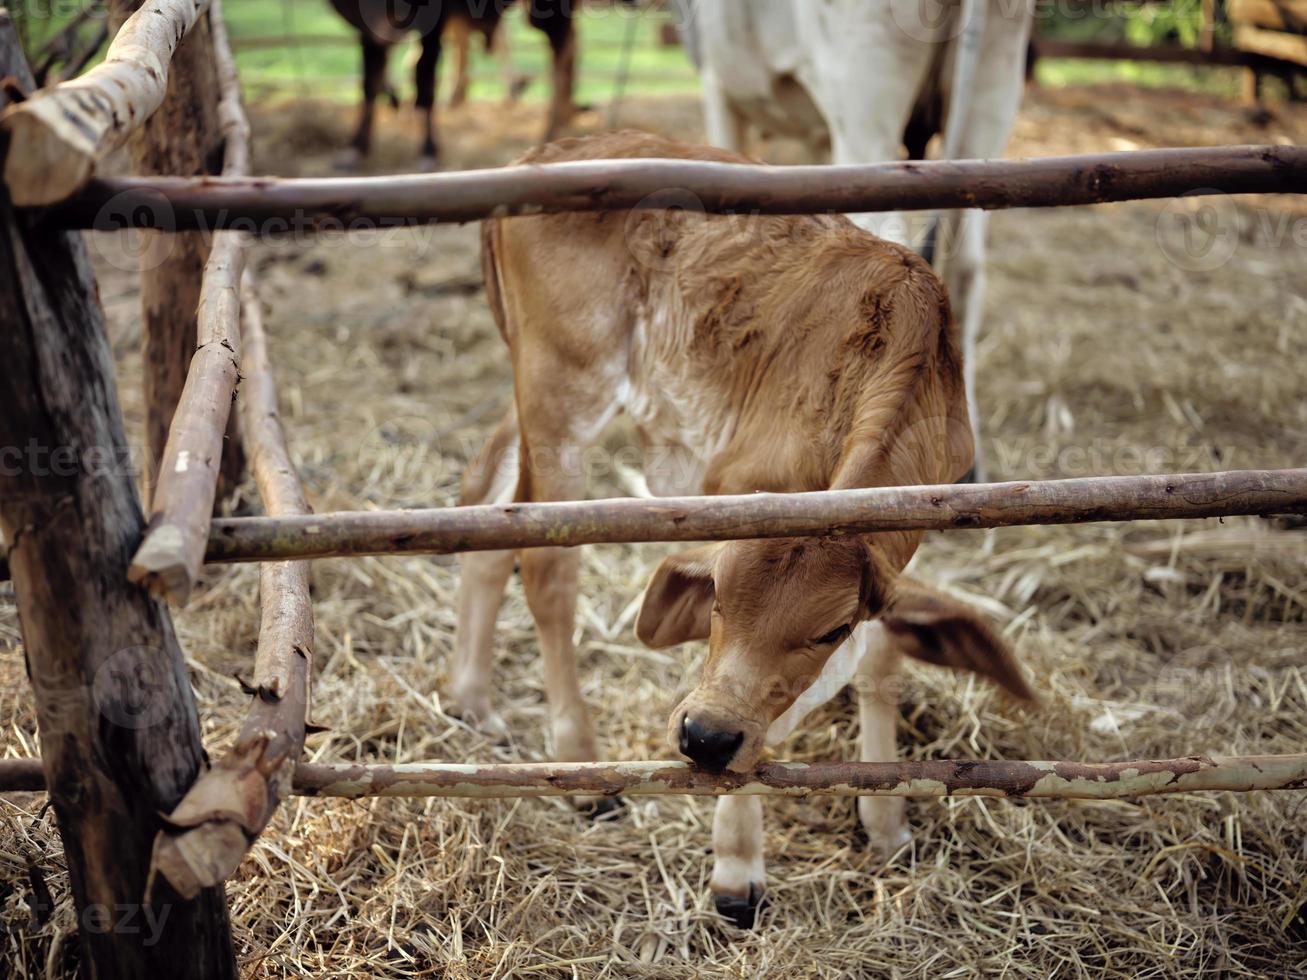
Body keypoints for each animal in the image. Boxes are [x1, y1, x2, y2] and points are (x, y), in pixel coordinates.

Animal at [449, 130, 1029, 930]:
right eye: (716, 597)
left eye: (830, 627)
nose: (703, 738)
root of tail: (541, 154)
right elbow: (763, 716)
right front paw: (735, 869)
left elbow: (878, 657)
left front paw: (885, 821)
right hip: (562, 391)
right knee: (547, 570)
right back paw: (582, 766)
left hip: (529, 396)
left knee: (488, 504)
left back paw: (471, 698)